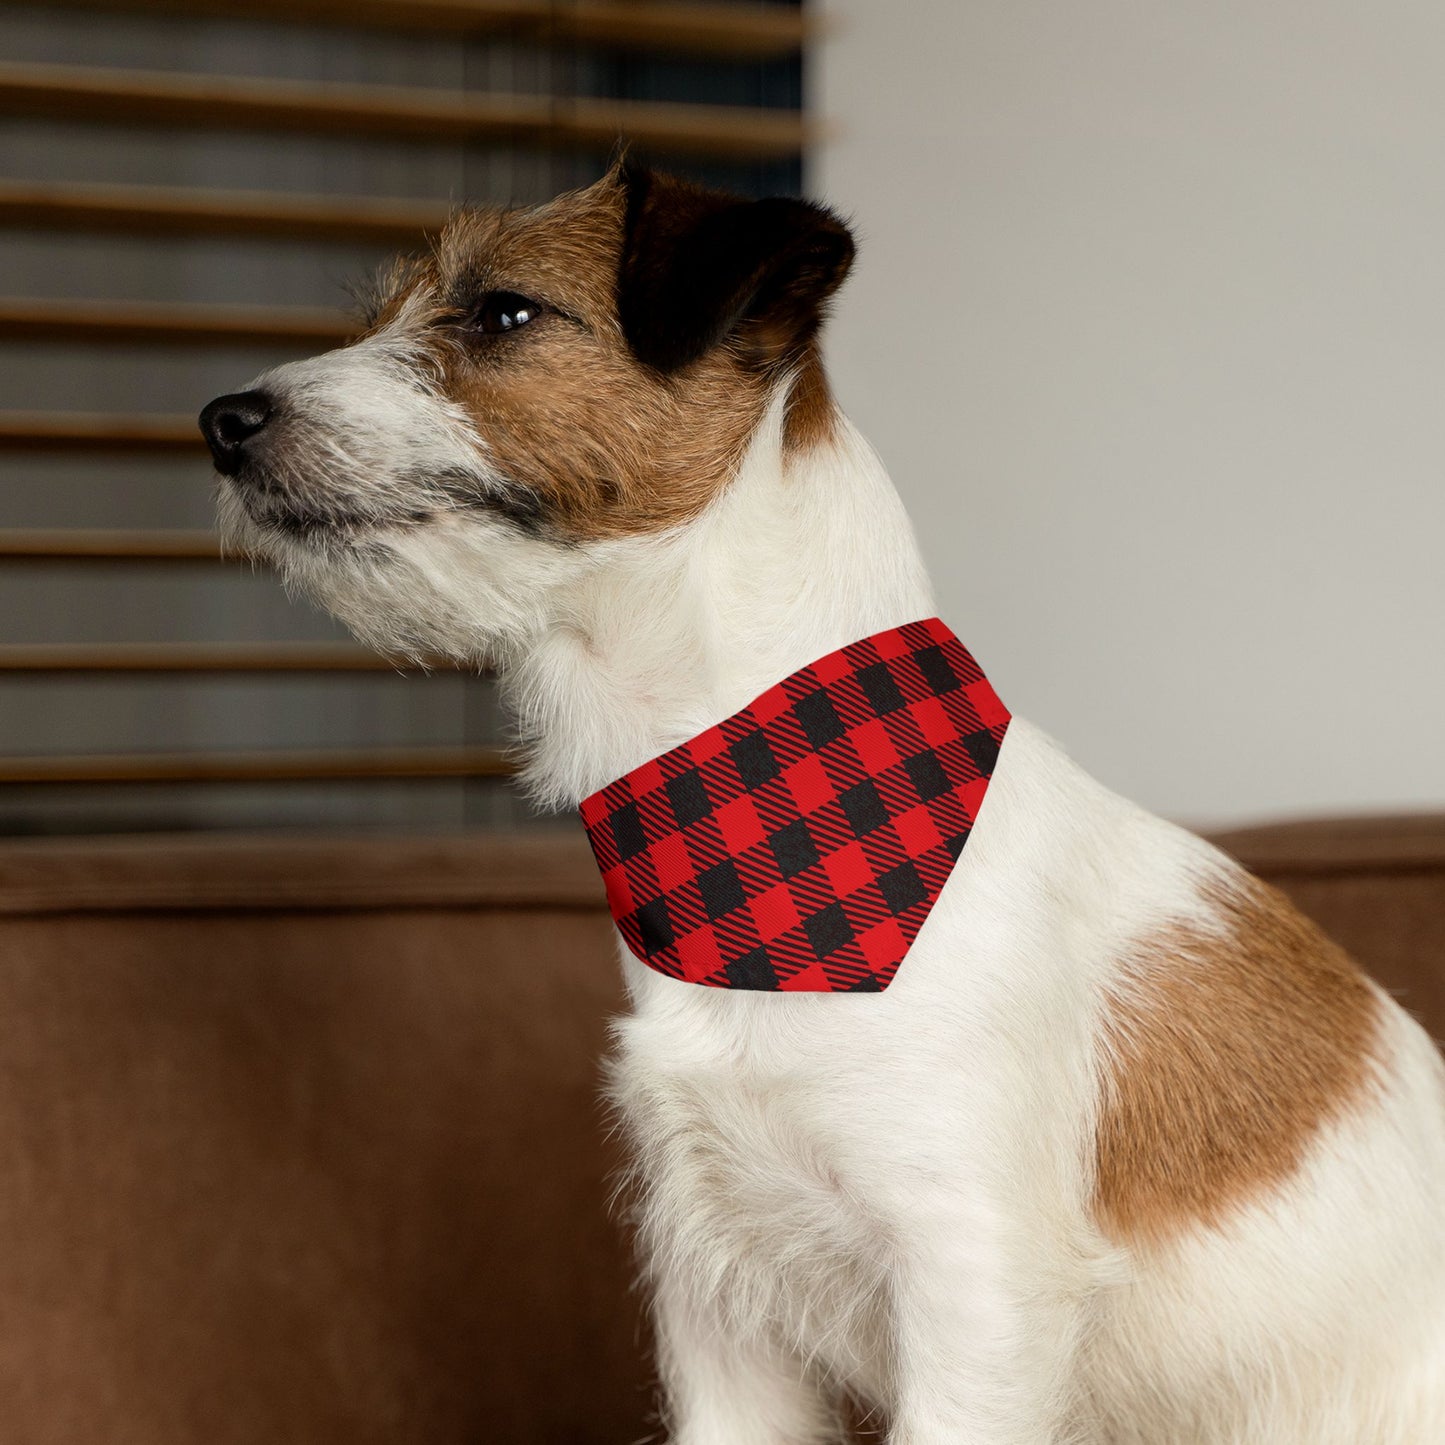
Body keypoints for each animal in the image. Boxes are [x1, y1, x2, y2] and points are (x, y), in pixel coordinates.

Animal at [200, 169, 1445, 1445]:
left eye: (503, 312)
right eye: (382, 314)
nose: (221, 420)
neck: (766, 829)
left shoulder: (972, 1290)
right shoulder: (716, 1302)